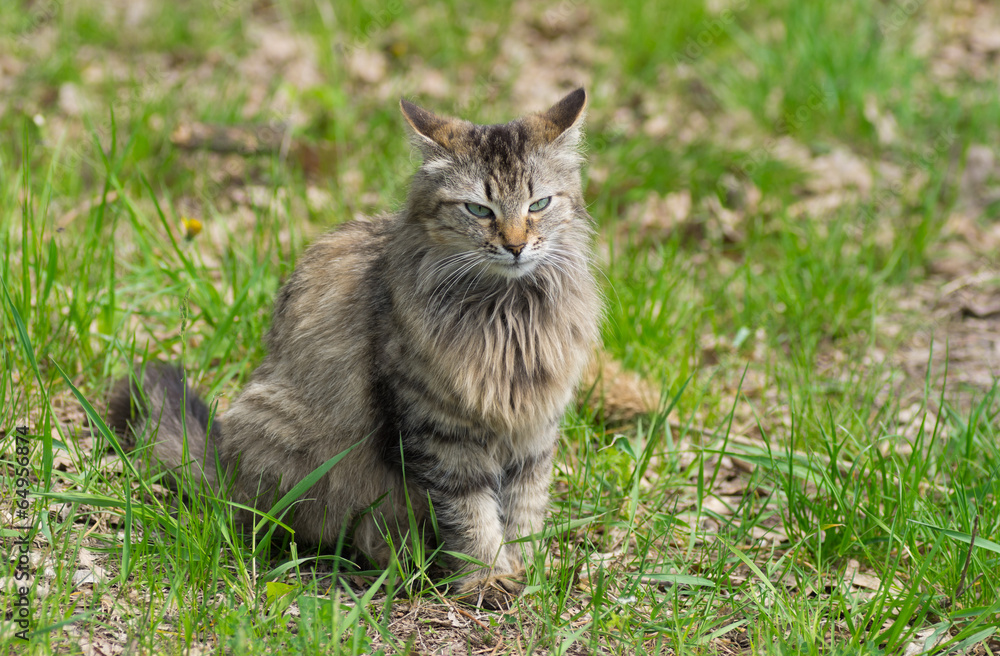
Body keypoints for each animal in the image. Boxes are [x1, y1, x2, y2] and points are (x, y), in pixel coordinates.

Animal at [107, 87, 600, 608]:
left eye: (538, 204)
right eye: (479, 211)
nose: (516, 246)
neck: (509, 315)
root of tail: (224, 464)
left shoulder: (534, 428)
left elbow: (525, 510)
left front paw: (528, 571)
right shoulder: (440, 432)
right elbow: (472, 516)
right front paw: (487, 578)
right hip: (284, 430)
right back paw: (402, 563)